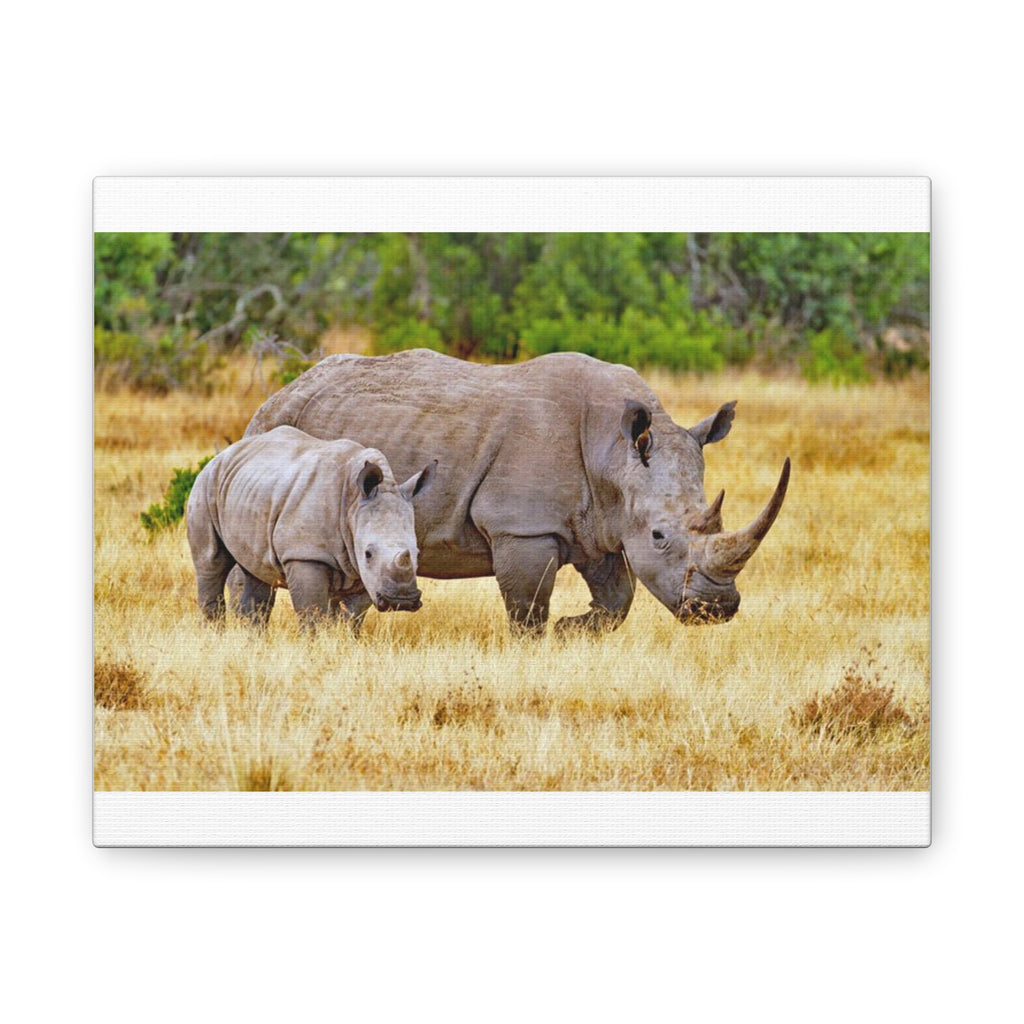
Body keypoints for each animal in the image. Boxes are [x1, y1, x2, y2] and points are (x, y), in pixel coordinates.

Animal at [187, 425, 434, 629]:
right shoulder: (305, 554)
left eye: (417, 553)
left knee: (257, 572)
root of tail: (224, 454)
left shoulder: (362, 569)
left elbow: (352, 616)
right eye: (368, 553)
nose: (400, 601)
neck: (353, 503)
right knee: (211, 562)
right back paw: (214, 634)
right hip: (206, 484)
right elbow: (312, 614)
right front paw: (313, 646)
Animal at [236, 349, 790, 636]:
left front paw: (572, 628)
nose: (716, 609)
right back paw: (249, 634)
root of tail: (280, 391)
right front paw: (541, 640)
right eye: (659, 536)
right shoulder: (523, 527)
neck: (613, 453)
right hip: (272, 430)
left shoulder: (599, 523)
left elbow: (618, 601)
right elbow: (527, 606)